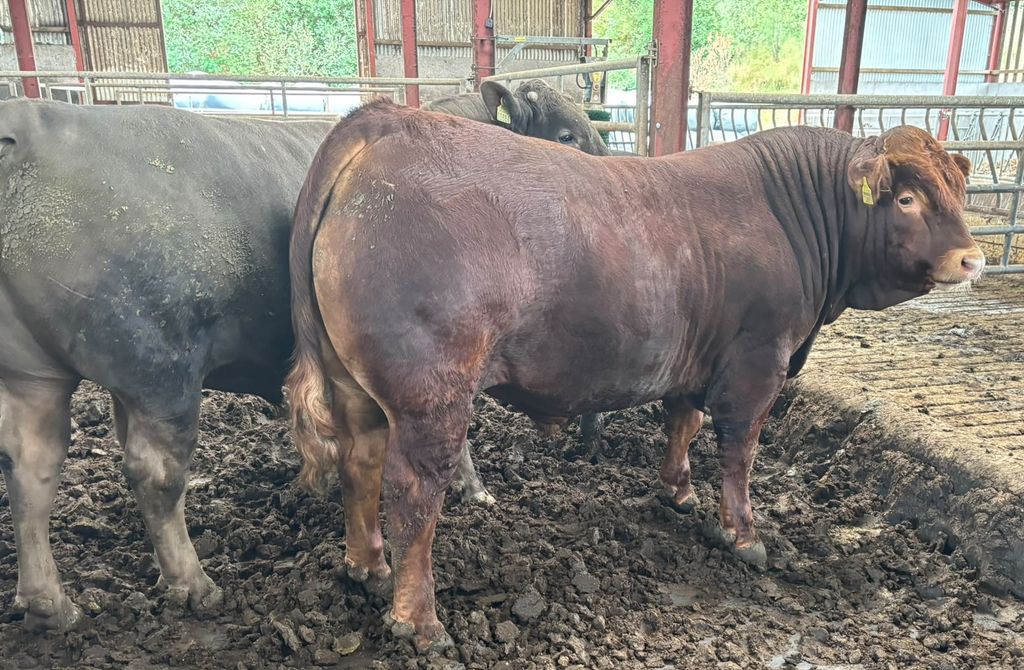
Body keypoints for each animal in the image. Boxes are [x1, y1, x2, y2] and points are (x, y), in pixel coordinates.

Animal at [0, 92, 609, 631]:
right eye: (567, 136)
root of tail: (26, 125)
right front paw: (474, 489)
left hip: (38, 378)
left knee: (32, 470)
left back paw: (49, 604)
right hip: (158, 372)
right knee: (155, 476)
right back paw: (193, 584)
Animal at [286, 100, 985, 652]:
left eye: (959, 193)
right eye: (907, 198)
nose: (972, 259)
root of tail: (389, 121)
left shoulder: (697, 357)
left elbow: (683, 421)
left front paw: (677, 491)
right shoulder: (758, 359)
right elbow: (739, 451)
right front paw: (742, 535)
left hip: (357, 389)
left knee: (360, 465)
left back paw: (365, 565)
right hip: (431, 396)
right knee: (414, 496)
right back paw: (419, 620)